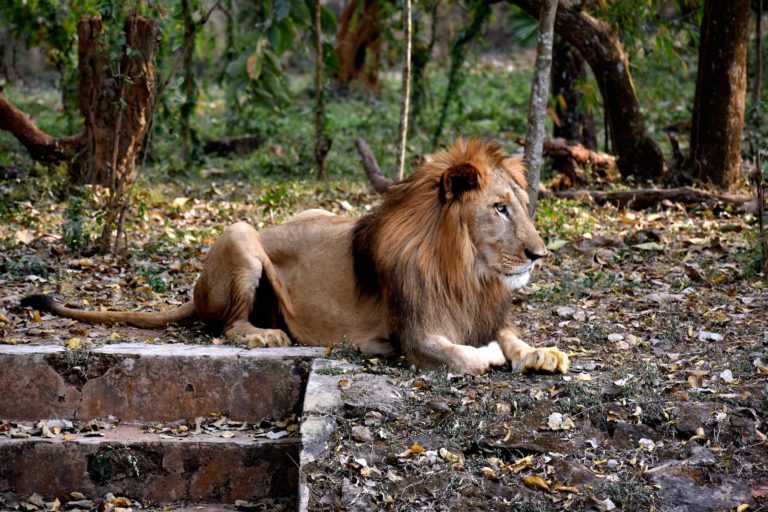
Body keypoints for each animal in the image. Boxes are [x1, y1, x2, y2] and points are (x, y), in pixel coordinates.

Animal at [21, 138, 568, 374]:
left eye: (522, 206)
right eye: (499, 209)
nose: (539, 254)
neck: (467, 271)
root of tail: (196, 291)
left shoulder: (482, 311)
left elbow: (511, 337)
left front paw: (543, 352)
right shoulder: (413, 333)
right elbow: (467, 357)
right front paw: (490, 354)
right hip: (240, 233)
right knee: (225, 325)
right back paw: (263, 335)